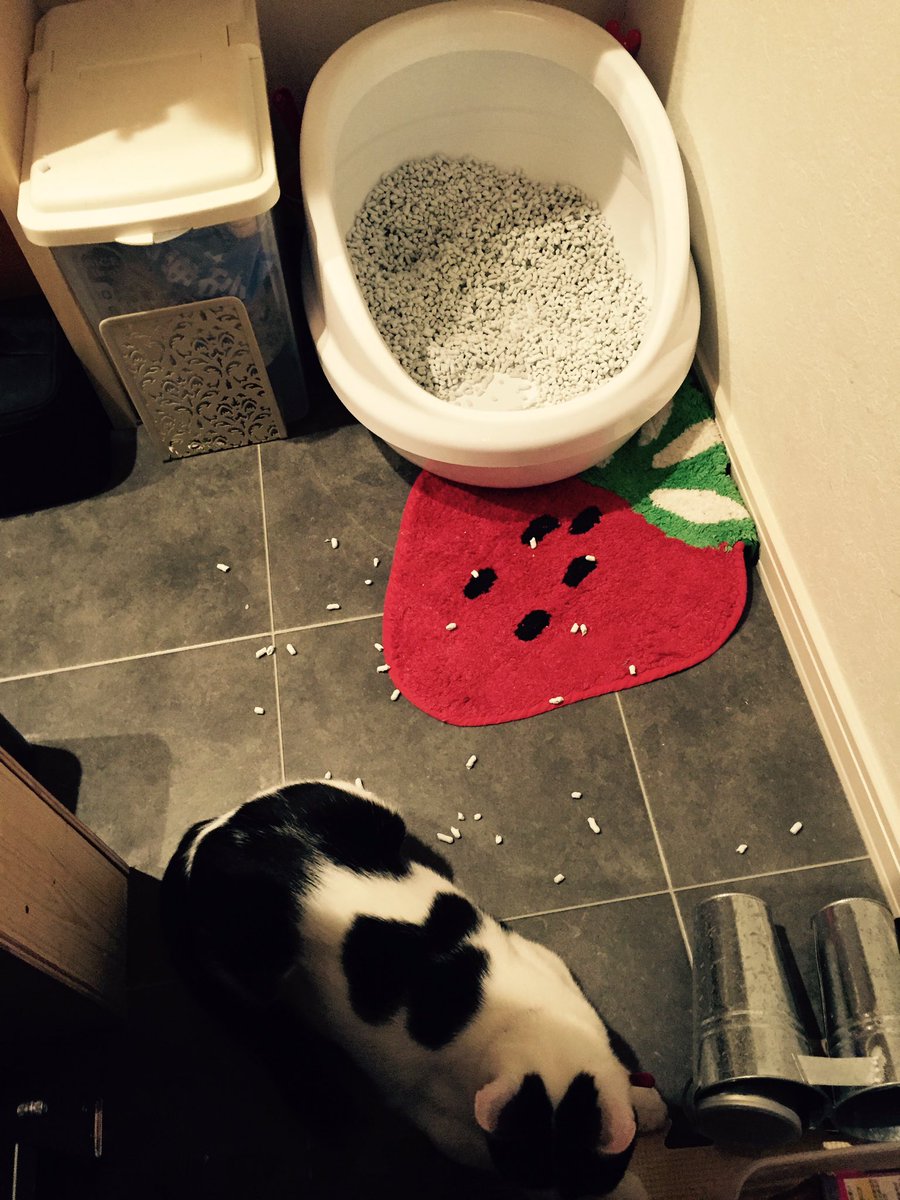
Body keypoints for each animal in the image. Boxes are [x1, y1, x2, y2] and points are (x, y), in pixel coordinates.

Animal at [160, 779, 668, 1199]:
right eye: (525, 1176)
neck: (528, 1024)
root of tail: (214, 828)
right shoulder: (445, 1127)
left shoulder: (553, 970)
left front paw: (646, 1103)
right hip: (259, 960)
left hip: (368, 808)